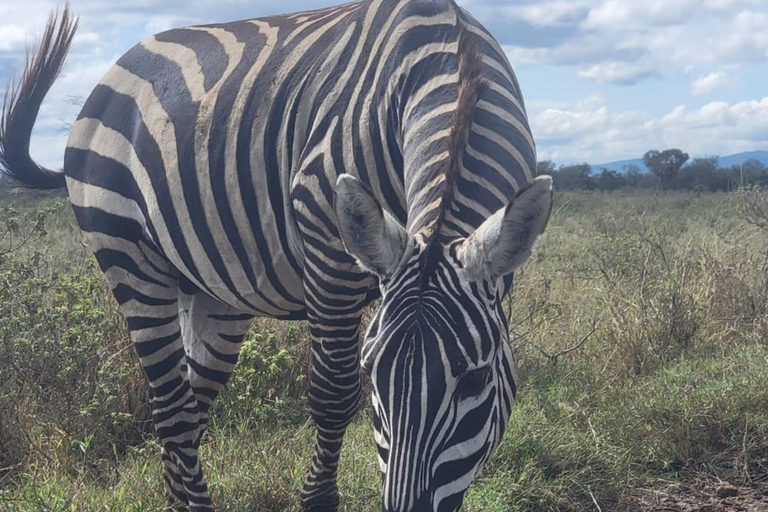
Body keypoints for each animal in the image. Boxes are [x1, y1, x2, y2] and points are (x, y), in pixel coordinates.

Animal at [0, 0, 552, 510]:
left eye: (477, 379)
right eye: (373, 373)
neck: (457, 60)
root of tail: (116, 67)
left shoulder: (498, 274)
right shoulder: (327, 246)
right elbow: (333, 396)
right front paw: (318, 500)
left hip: (212, 289)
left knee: (190, 404)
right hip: (128, 255)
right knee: (172, 408)